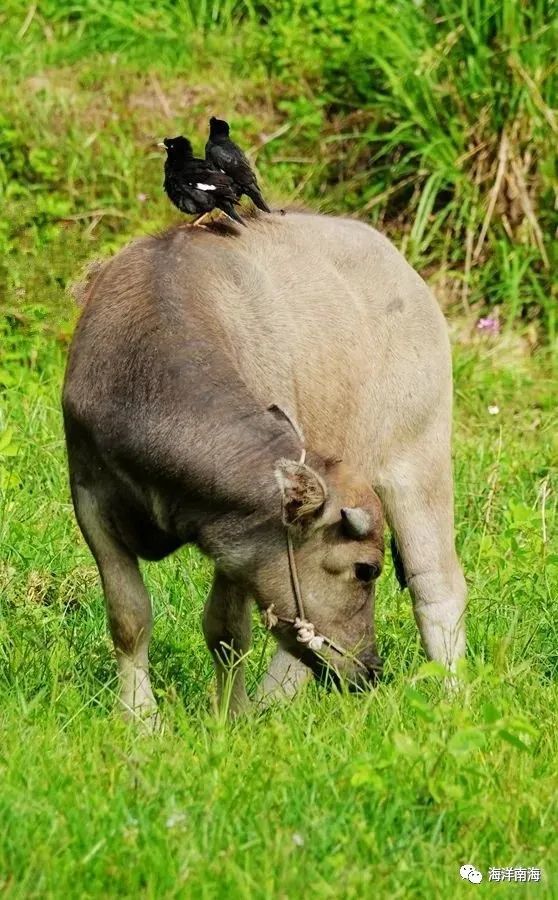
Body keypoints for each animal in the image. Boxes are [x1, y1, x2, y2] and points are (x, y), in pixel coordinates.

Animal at [62, 211, 468, 724]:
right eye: (365, 570)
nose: (372, 668)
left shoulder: (237, 546)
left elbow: (226, 631)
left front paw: (229, 717)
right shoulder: (90, 499)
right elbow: (129, 616)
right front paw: (140, 717)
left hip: (420, 455)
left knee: (436, 584)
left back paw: (452, 697)